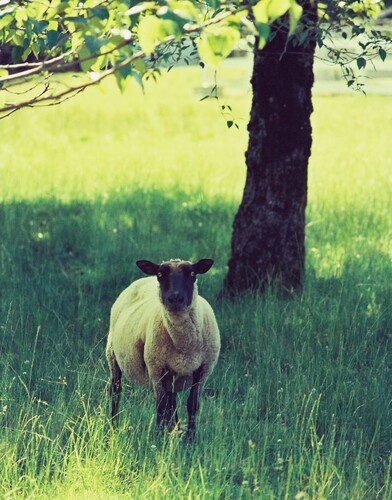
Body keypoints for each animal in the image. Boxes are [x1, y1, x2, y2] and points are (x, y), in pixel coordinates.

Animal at [105, 260, 219, 440]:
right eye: (160, 274)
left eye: (192, 274)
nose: (175, 298)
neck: (183, 345)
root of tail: (144, 279)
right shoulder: (156, 369)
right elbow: (161, 405)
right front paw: (159, 438)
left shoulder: (203, 370)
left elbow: (192, 404)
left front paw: (190, 438)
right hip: (113, 355)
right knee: (115, 391)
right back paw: (113, 427)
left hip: (172, 376)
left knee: (172, 401)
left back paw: (175, 430)